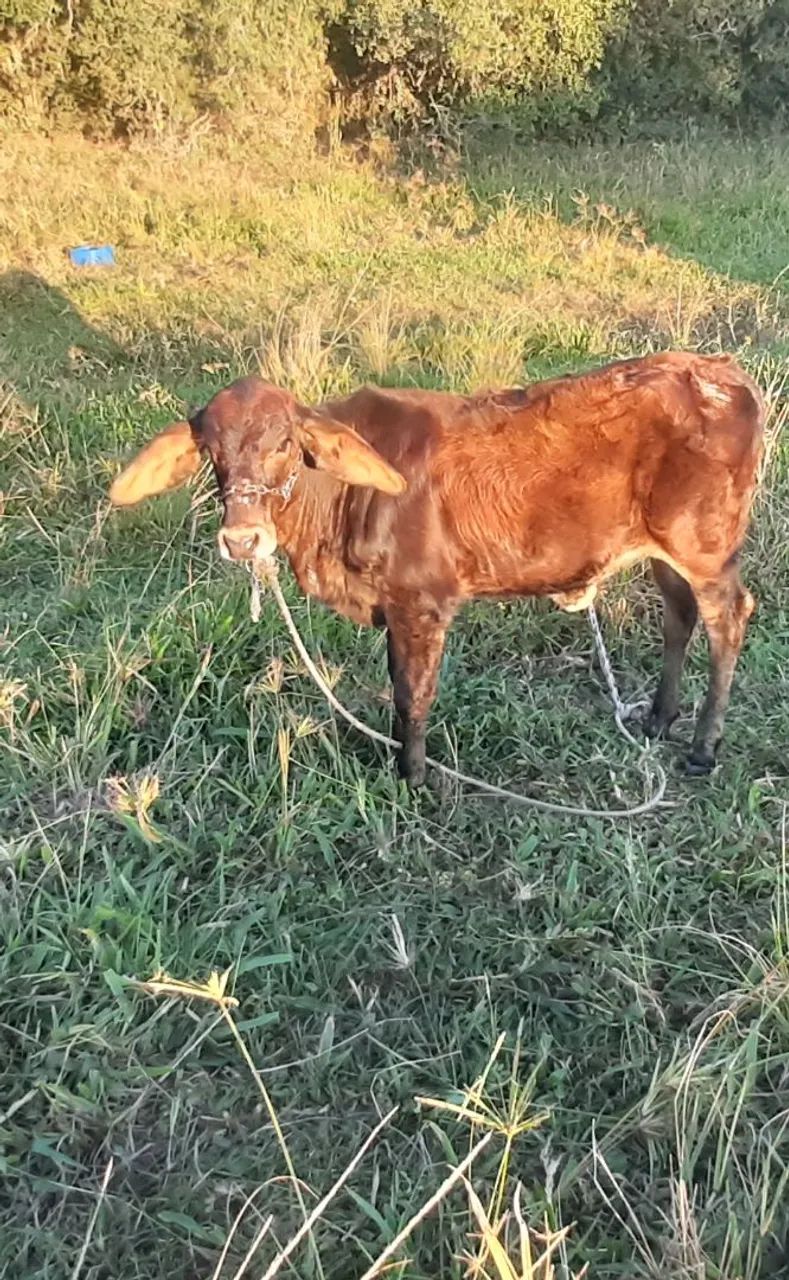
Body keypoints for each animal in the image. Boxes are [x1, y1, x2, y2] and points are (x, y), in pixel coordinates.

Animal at [109, 352, 764, 786]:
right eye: (212, 451)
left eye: (283, 444)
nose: (243, 539)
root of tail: (723, 373)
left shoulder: (423, 603)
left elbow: (412, 693)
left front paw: (413, 775)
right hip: (665, 552)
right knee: (679, 618)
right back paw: (658, 718)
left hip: (706, 550)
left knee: (728, 620)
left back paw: (703, 748)